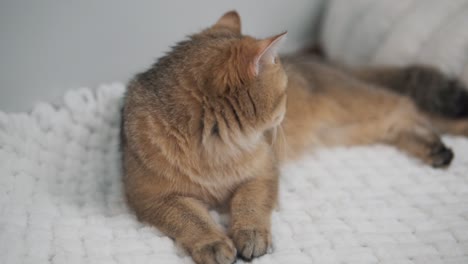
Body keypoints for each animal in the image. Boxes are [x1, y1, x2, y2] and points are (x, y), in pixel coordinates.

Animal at [120, 10, 468, 264]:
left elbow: (249, 202)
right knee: (401, 121)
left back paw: (449, 138)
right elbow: (190, 219)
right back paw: (436, 150)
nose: (287, 110)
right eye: (282, 93)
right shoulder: (152, 197)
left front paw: (250, 235)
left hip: (360, 108)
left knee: (411, 107)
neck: (217, 144)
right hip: (353, 128)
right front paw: (213, 243)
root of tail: (330, 63)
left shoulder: (263, 171)